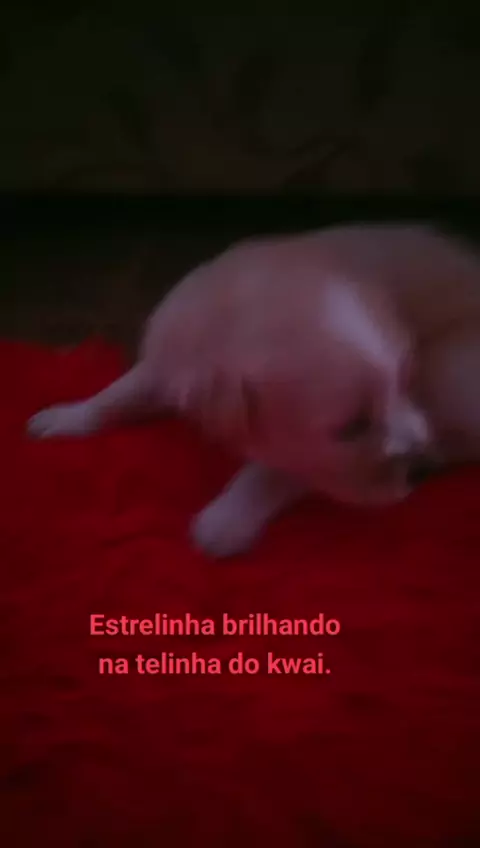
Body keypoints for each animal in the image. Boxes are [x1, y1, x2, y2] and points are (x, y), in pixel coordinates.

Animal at [27, 223, 480, 558]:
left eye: (407, 382)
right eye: (352, 426)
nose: (422, 469)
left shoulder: (313, 459)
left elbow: (273, 472)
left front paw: (224, 520)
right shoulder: (163, 360)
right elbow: (118, 393)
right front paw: (67, 417)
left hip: (450, 373)